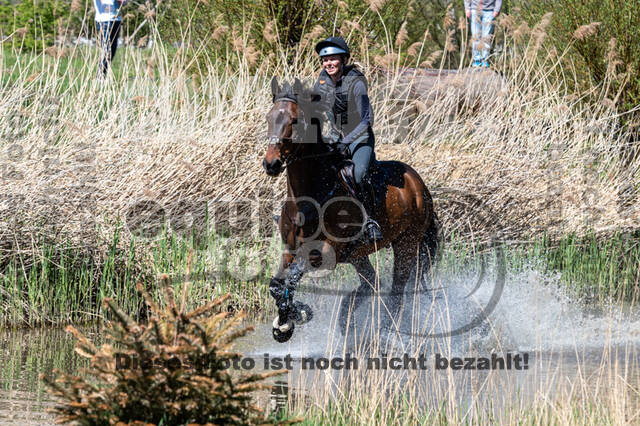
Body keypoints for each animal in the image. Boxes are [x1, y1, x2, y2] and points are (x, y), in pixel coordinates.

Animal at [260, 77, 440, 342]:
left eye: (295, 120)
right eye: (269, 117)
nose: (271, 164)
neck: (309, 198)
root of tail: (418, 184)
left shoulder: (323, 252)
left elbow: (293, 275)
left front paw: (296, 314)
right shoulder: (290, 248)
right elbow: (277, 284)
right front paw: (285, 322)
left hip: (406, 244)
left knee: (397, 292)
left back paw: (384, 333)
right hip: (358, 255)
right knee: (372, 284)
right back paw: (349, 317)